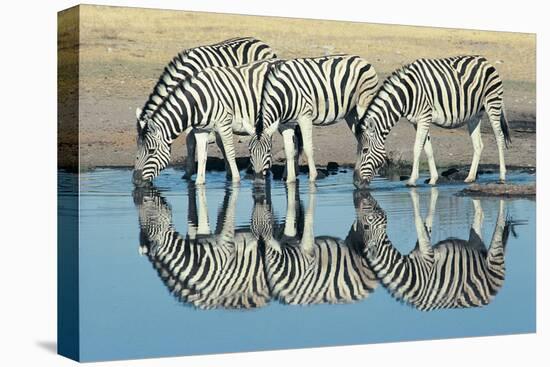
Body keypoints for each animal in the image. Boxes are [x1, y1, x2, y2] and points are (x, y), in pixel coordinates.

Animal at [135, 36, 278, 183]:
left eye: (151, 151)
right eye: (137, 149)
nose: (136, 179)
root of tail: (259, 41)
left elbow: (194, 141)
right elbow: (197, 142)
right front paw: (189, 174)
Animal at [247, 55, 380, 184]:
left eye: (268, 151)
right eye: (249, 151)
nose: (258, 181)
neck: (284, 94)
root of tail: (362, 59)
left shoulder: (304, 116)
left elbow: (307, 147)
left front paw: (312, 177)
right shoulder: (285, 124)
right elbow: (289, 150)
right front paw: (290, 181)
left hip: (364, 104)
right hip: (351, 113)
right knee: (361, 138)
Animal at [356, 55, 516, 188]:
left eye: (365, 150)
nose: (356, 183)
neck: (406, 96)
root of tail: (485, 60)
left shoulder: (424, 117)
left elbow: (417, 148)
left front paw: (412, 180)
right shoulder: (417, 121)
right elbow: (428, 149)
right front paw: (433, 179)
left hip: (493, 103)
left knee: (499, 137)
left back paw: (502, 176)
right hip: (474, 115)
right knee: (478, 145)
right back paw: (470, 177)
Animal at [360, 188, 516, 312]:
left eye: (366, 225)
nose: (361, 198)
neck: (409, 273)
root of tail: (489, 298)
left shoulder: (427, 256)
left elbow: (418, 221)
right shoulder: (421, 250)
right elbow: (424, 226)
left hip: (494, 254)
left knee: (499, 228)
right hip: (476, 244)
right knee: (480, 218)